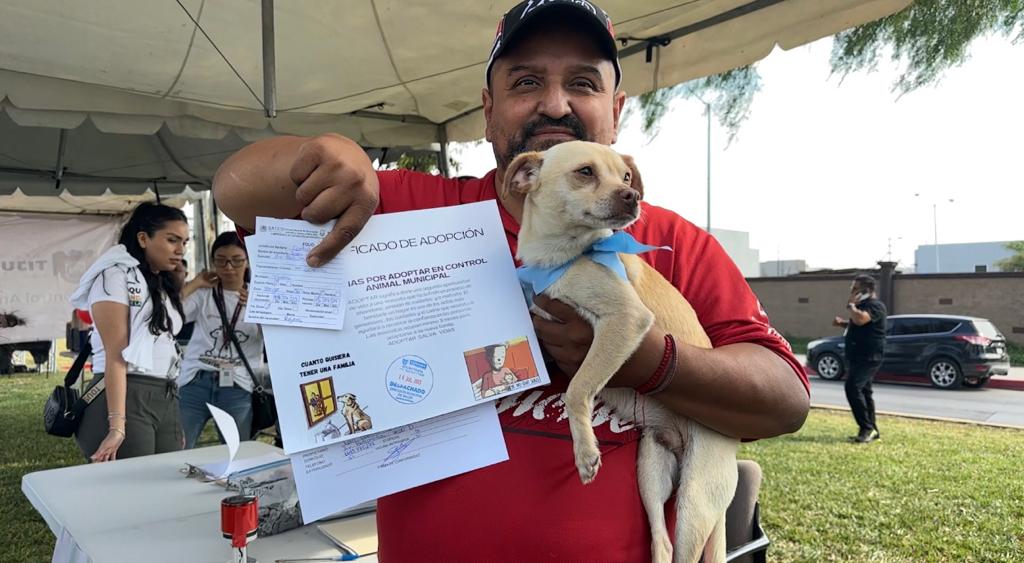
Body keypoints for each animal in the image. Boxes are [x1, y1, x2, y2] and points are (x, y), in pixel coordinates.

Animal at [507, 142, 741, 563]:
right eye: (585, 172)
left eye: (628, 176)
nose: (633, 195)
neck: (563, 256)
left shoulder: (626, 320)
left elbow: (577, 389)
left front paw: (584, 451)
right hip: (651, 469)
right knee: (661, 540)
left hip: (694, 501)